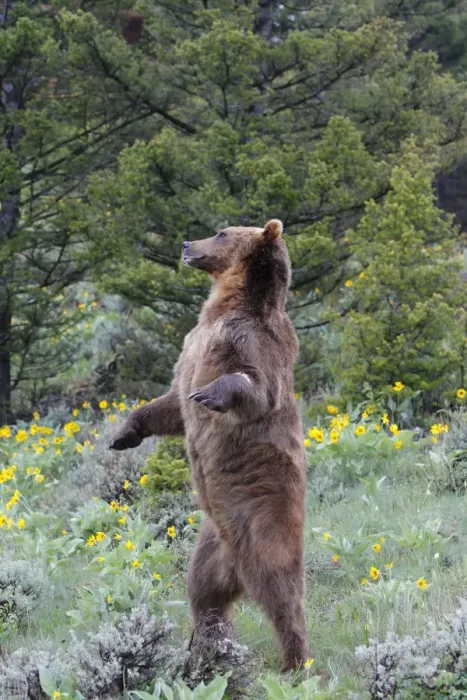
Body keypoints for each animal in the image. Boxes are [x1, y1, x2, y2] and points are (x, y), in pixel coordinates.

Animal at [110, 219, 308, 671]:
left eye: (221, 233)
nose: (186, 243)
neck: (224, 305)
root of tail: (237, 565)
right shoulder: (191, 346)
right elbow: (171, 404)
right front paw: (124, 433)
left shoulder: (253, 341)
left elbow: (255, 386)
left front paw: (211, 394)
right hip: (211, 544)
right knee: (203, 592)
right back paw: (206, 646)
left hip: (266, 515)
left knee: (282, 592)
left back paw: (296, 663)